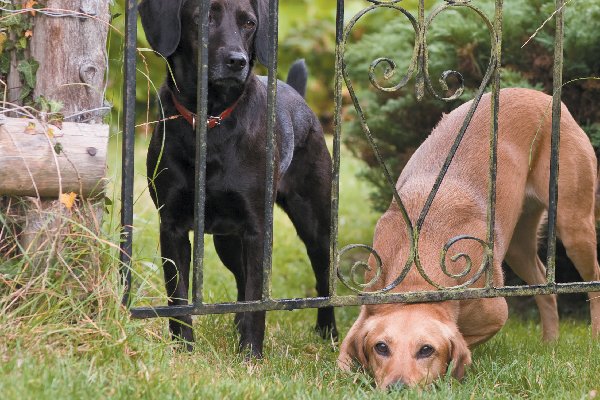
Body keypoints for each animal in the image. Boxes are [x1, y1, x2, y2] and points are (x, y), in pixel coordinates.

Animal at [139, 0, 338, 356]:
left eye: (249, 23)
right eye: (203, 17)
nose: (237, 61)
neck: (210, 122)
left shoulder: (256, 229)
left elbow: (257, 298)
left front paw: (251, 354)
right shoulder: (172, 226)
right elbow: (179, 297)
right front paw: (184, 351)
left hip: (315, 225)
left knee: (322, 279)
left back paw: (327, 331)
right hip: (226, 240)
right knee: (241, 279)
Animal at [338, 88, 600, 390]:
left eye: (426, 350)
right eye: (381, 347)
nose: (397, 389)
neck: (418, 276)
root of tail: (542, 95)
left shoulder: (496, 314)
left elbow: (464, 342)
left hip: (574, 226)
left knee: (593, 282)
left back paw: (594, 339)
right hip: (518, 247)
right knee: (545, 286)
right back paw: (550, 344)